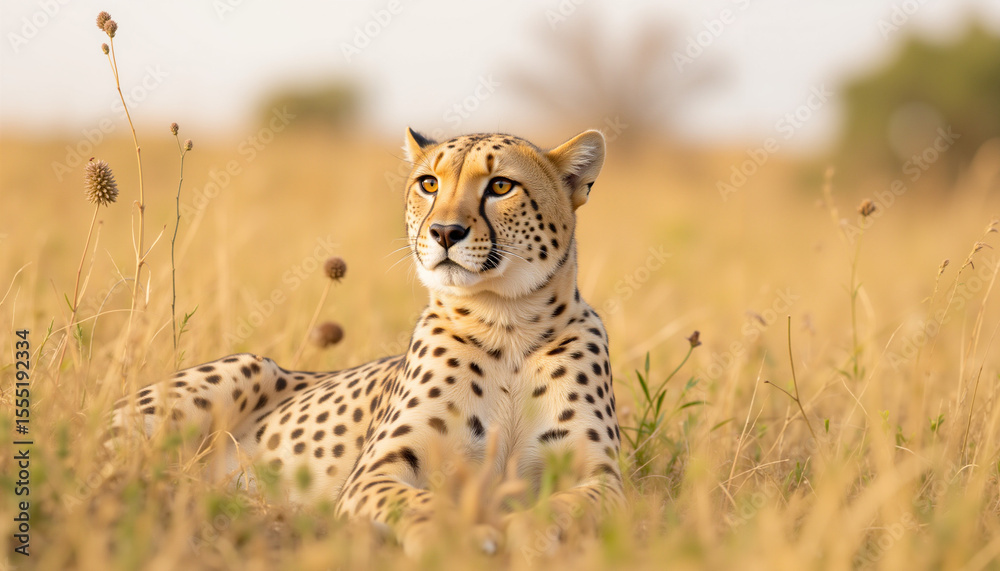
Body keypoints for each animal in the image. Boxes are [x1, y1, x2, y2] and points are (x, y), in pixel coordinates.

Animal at [110, 128, 623, 557]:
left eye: (500, 187)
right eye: (429, 184)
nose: (444, 232)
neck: (506, 323)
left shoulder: (604, 477)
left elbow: (570, 506)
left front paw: (529, 531)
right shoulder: (375, 471)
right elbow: (416, 502)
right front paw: (454, 539)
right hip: (244, 368)